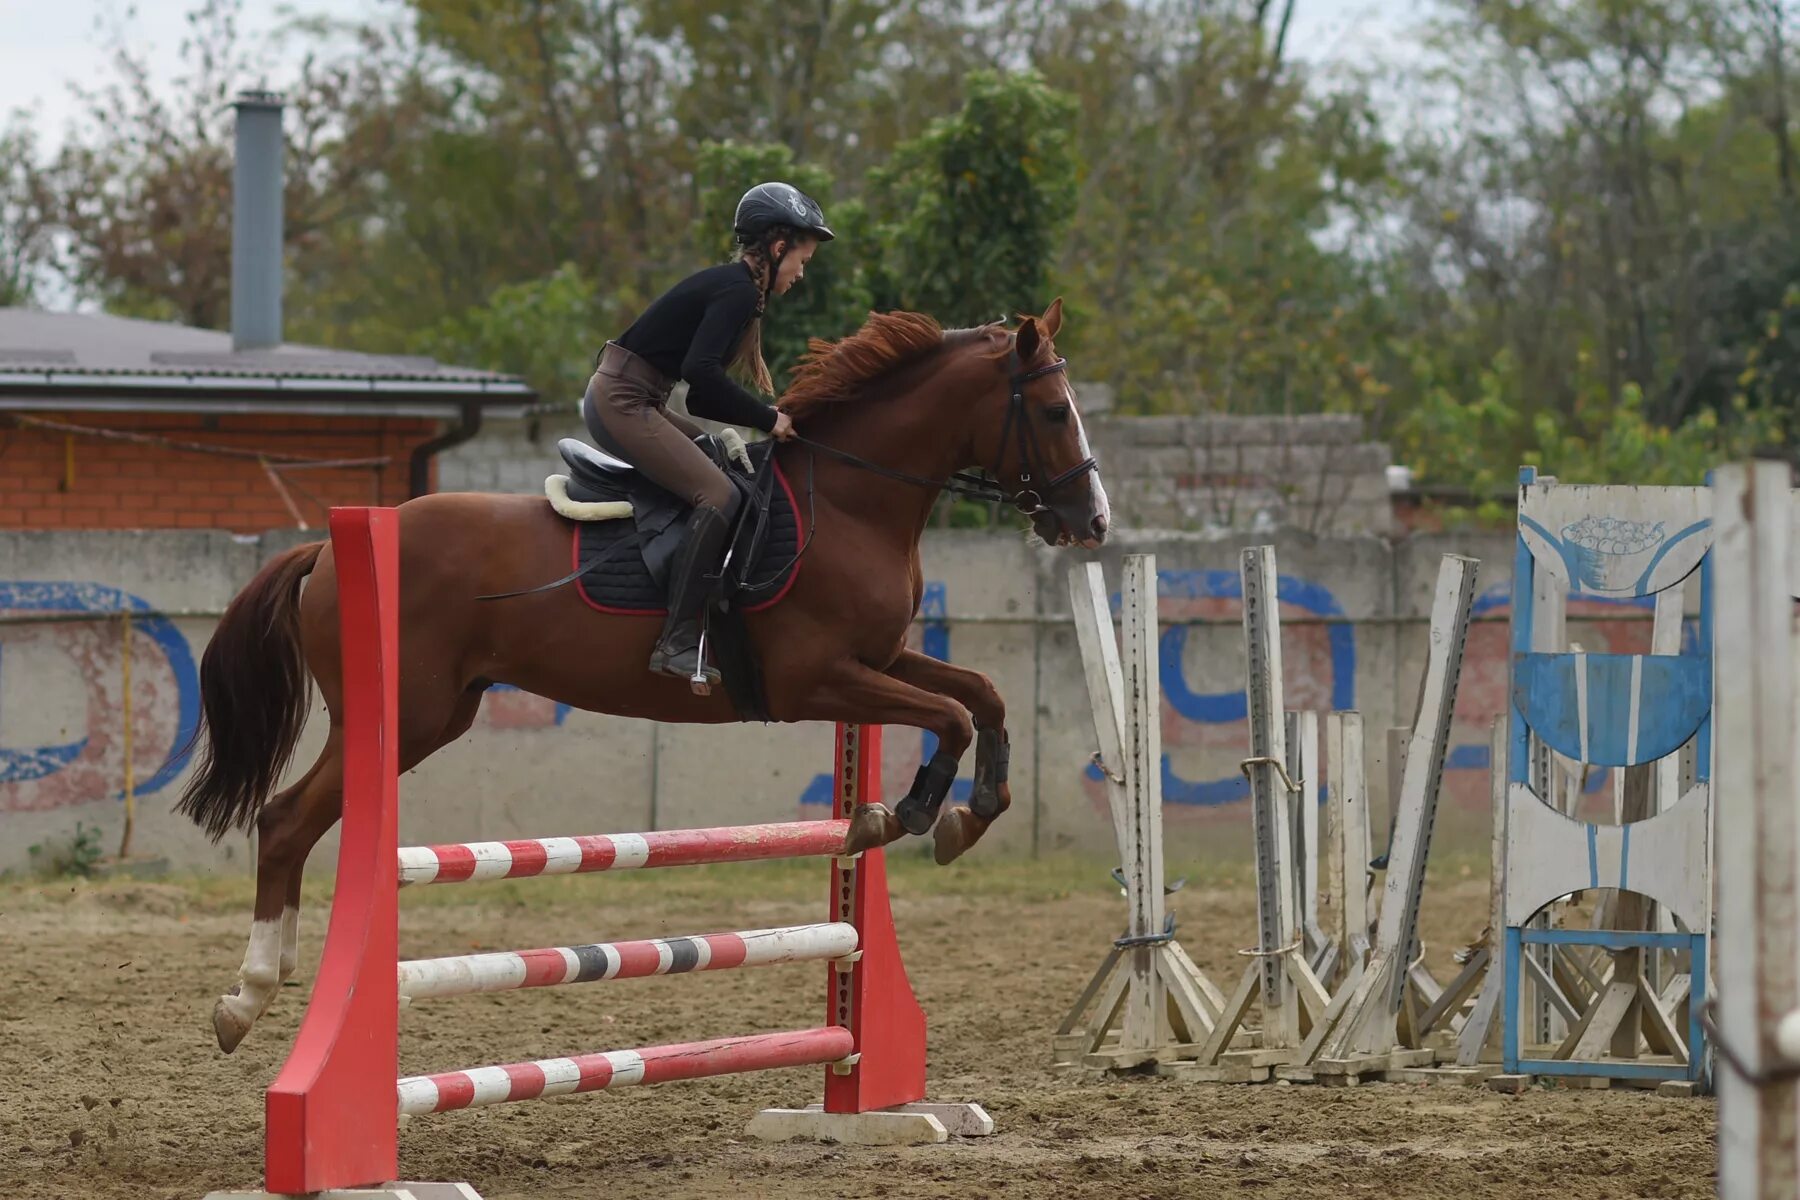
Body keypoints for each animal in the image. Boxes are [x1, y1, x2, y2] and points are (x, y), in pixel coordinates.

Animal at [182, 298, 1108, 1050]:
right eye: (1053, 410)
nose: (1092, 521)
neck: (851, 500)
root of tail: (325, 551)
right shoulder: (815, 679)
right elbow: (948, 717)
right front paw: (902, 816)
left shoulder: (877, 660)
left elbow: (982, 696)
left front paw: (972, 813)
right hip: (398, 719)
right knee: (287, 820)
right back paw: (247, 998)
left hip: (434, 717)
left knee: (297, 822)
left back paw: (267, 985)